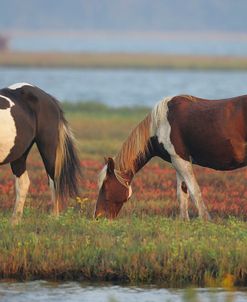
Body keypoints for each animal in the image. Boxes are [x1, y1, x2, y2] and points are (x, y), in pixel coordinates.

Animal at [0, 82, 80, 224]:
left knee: (54, 182)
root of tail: (48, 98)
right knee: (23, 183)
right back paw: (14, 222)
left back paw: (54, 218)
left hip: (48, 148)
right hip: (20, 153)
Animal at [94, 95, 247, 221]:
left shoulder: (180, 160)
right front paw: (184, 221)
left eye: (105, 186)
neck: (159, 125)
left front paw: (205, 219)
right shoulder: (177, 162)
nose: (98, 216)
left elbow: (194, 191)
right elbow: (182, 193)